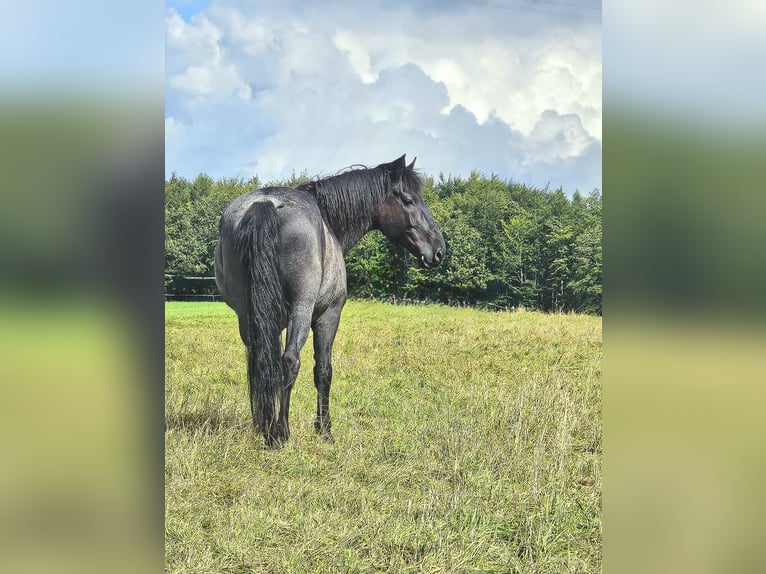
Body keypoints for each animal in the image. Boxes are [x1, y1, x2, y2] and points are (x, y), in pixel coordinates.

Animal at [213, 154, 448, 450]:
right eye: (408, 200)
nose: (439, 250)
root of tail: (265, 203)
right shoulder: (329, 315)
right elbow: (323, 371)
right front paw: (324, 430)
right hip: (302, 310)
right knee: (289, 362)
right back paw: (281, 434)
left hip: (247, 314)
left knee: (259, 363)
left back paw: (265, 429)